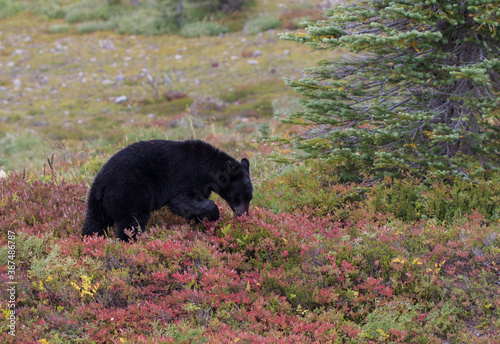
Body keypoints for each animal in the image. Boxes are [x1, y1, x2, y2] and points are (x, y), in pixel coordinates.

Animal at [83, 138, 254, 241]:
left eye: (250, 197)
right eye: (238, 197)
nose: (244, 215)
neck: (208, 166)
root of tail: (103, 184)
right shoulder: (187, 176)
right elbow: (181, 201)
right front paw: (214, 214)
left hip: (96, 202)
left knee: (94, 222)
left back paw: (89, 240)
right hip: (131, 192)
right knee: (133, 220)